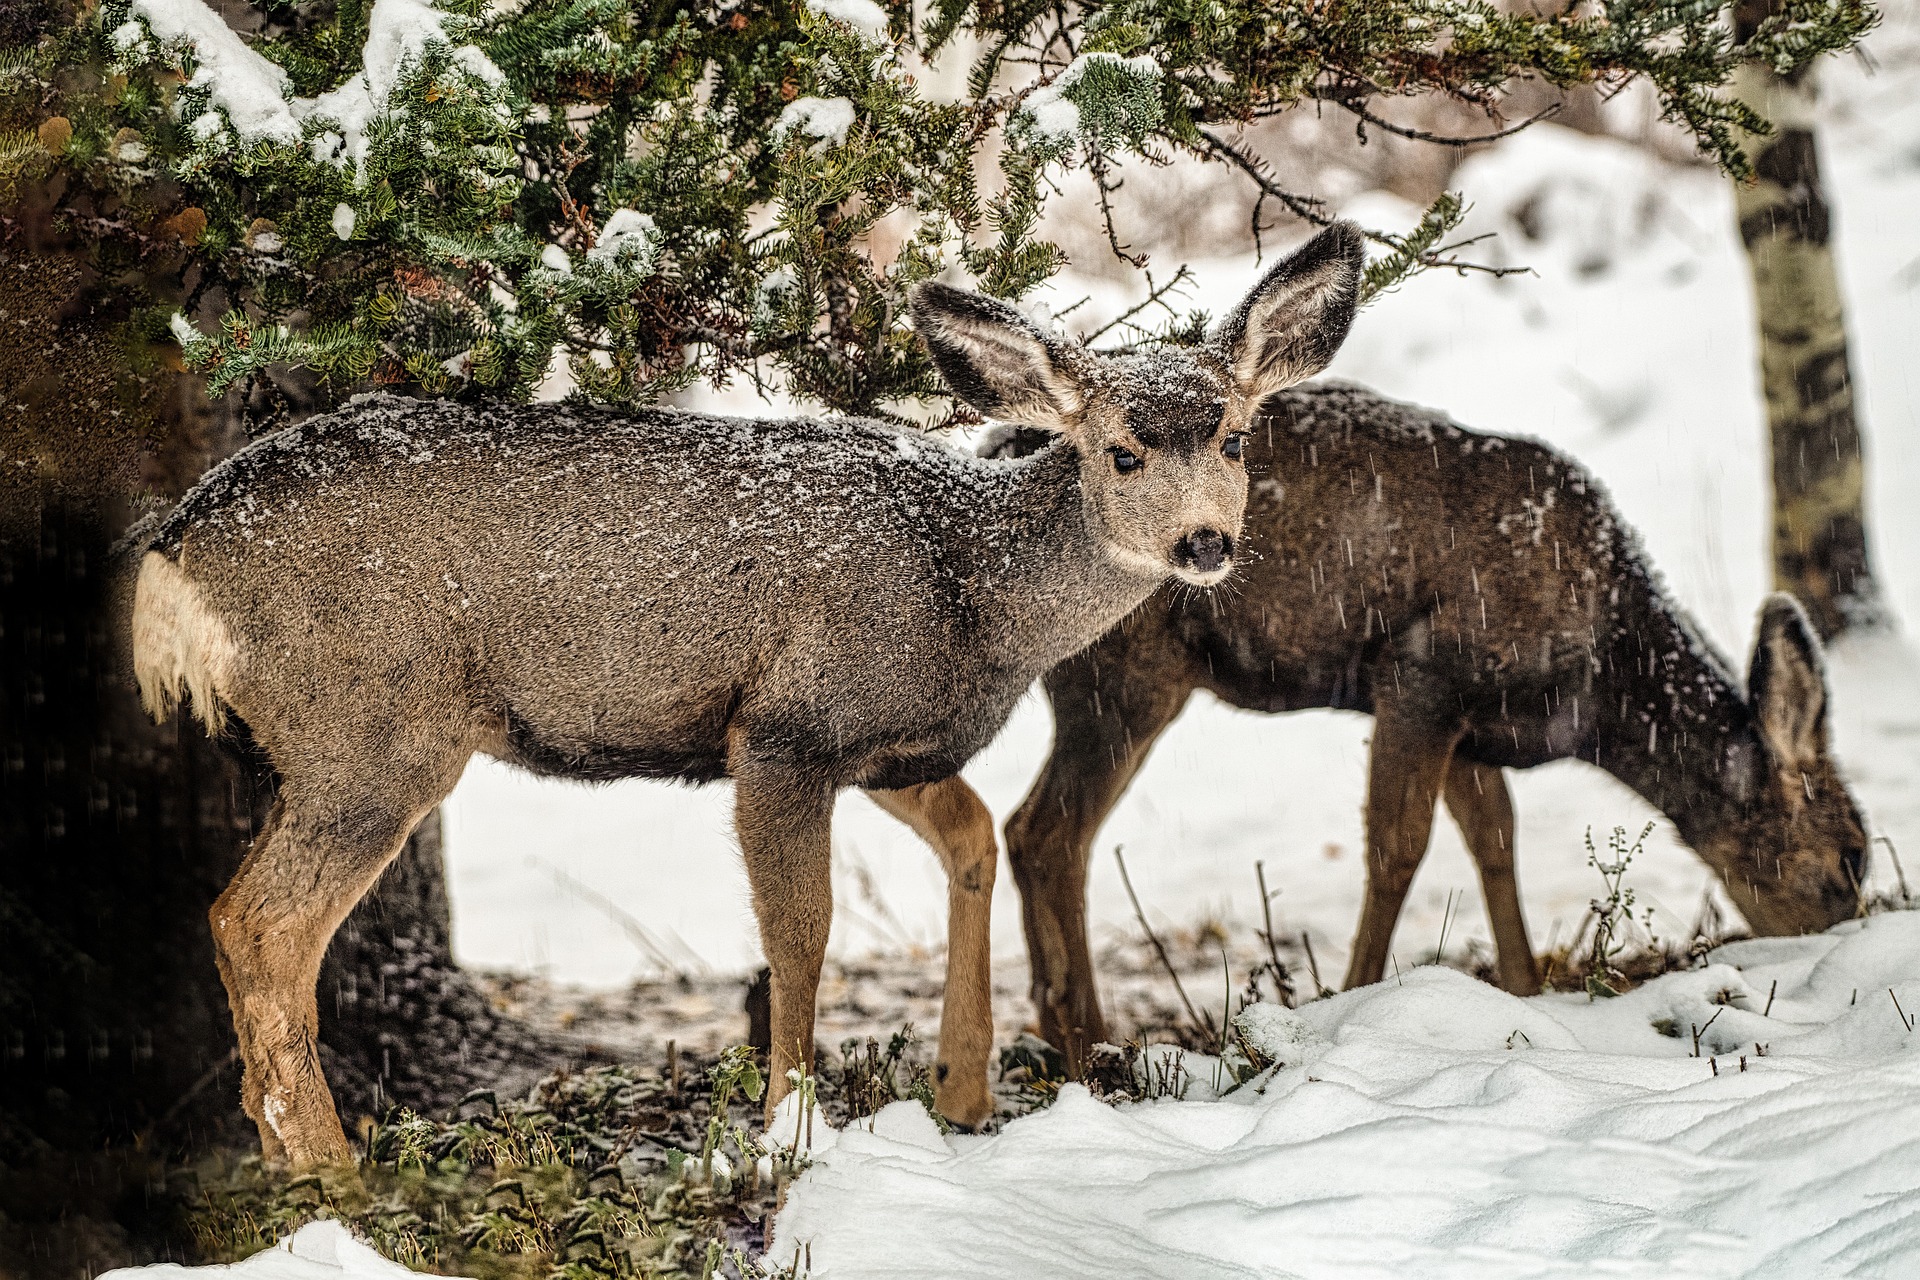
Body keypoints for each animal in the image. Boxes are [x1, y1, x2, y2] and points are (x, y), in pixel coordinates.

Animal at [131, 225, 1367, 1166]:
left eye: (1238, 437)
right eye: (1119, 451)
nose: (1204, 542)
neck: (967, 589)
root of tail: (173, 554)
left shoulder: (885, 743)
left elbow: (972, 836)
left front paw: (964, 1092)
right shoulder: (784, 729)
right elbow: (800, 930)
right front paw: (788, 1125)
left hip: (328, 743)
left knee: (237, 917)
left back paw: (290, 1155)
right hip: (371, 728)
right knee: (262, 925)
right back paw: (330, 1172)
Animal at [998, 383, 1866, 1074]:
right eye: (1846, 860)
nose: (1835, 954)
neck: (1595, 682)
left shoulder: (1471, 723)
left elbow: (1495, 840)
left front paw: (1525, 992)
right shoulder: (1418, 676)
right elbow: (1398, 848)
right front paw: (1352, 999)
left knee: (1024, 828)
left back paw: (1056, 1030)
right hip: (1127, 675)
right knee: (1052, 832)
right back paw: (1091, 1041)